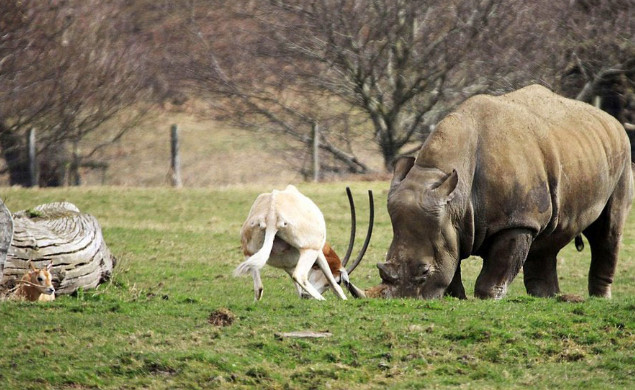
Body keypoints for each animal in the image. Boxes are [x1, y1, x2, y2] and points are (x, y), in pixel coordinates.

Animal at [234, 185, 372, 302]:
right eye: (339, 281)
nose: (307, 296)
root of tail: (272, 215)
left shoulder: (288, 265)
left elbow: (297, 289)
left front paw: (302, 296)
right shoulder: (319, 252)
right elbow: (332, 281)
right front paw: (343, 299)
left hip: (249, 253)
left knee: (258, 288)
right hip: (310, 249)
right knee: (299, 275)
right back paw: (322, 300)